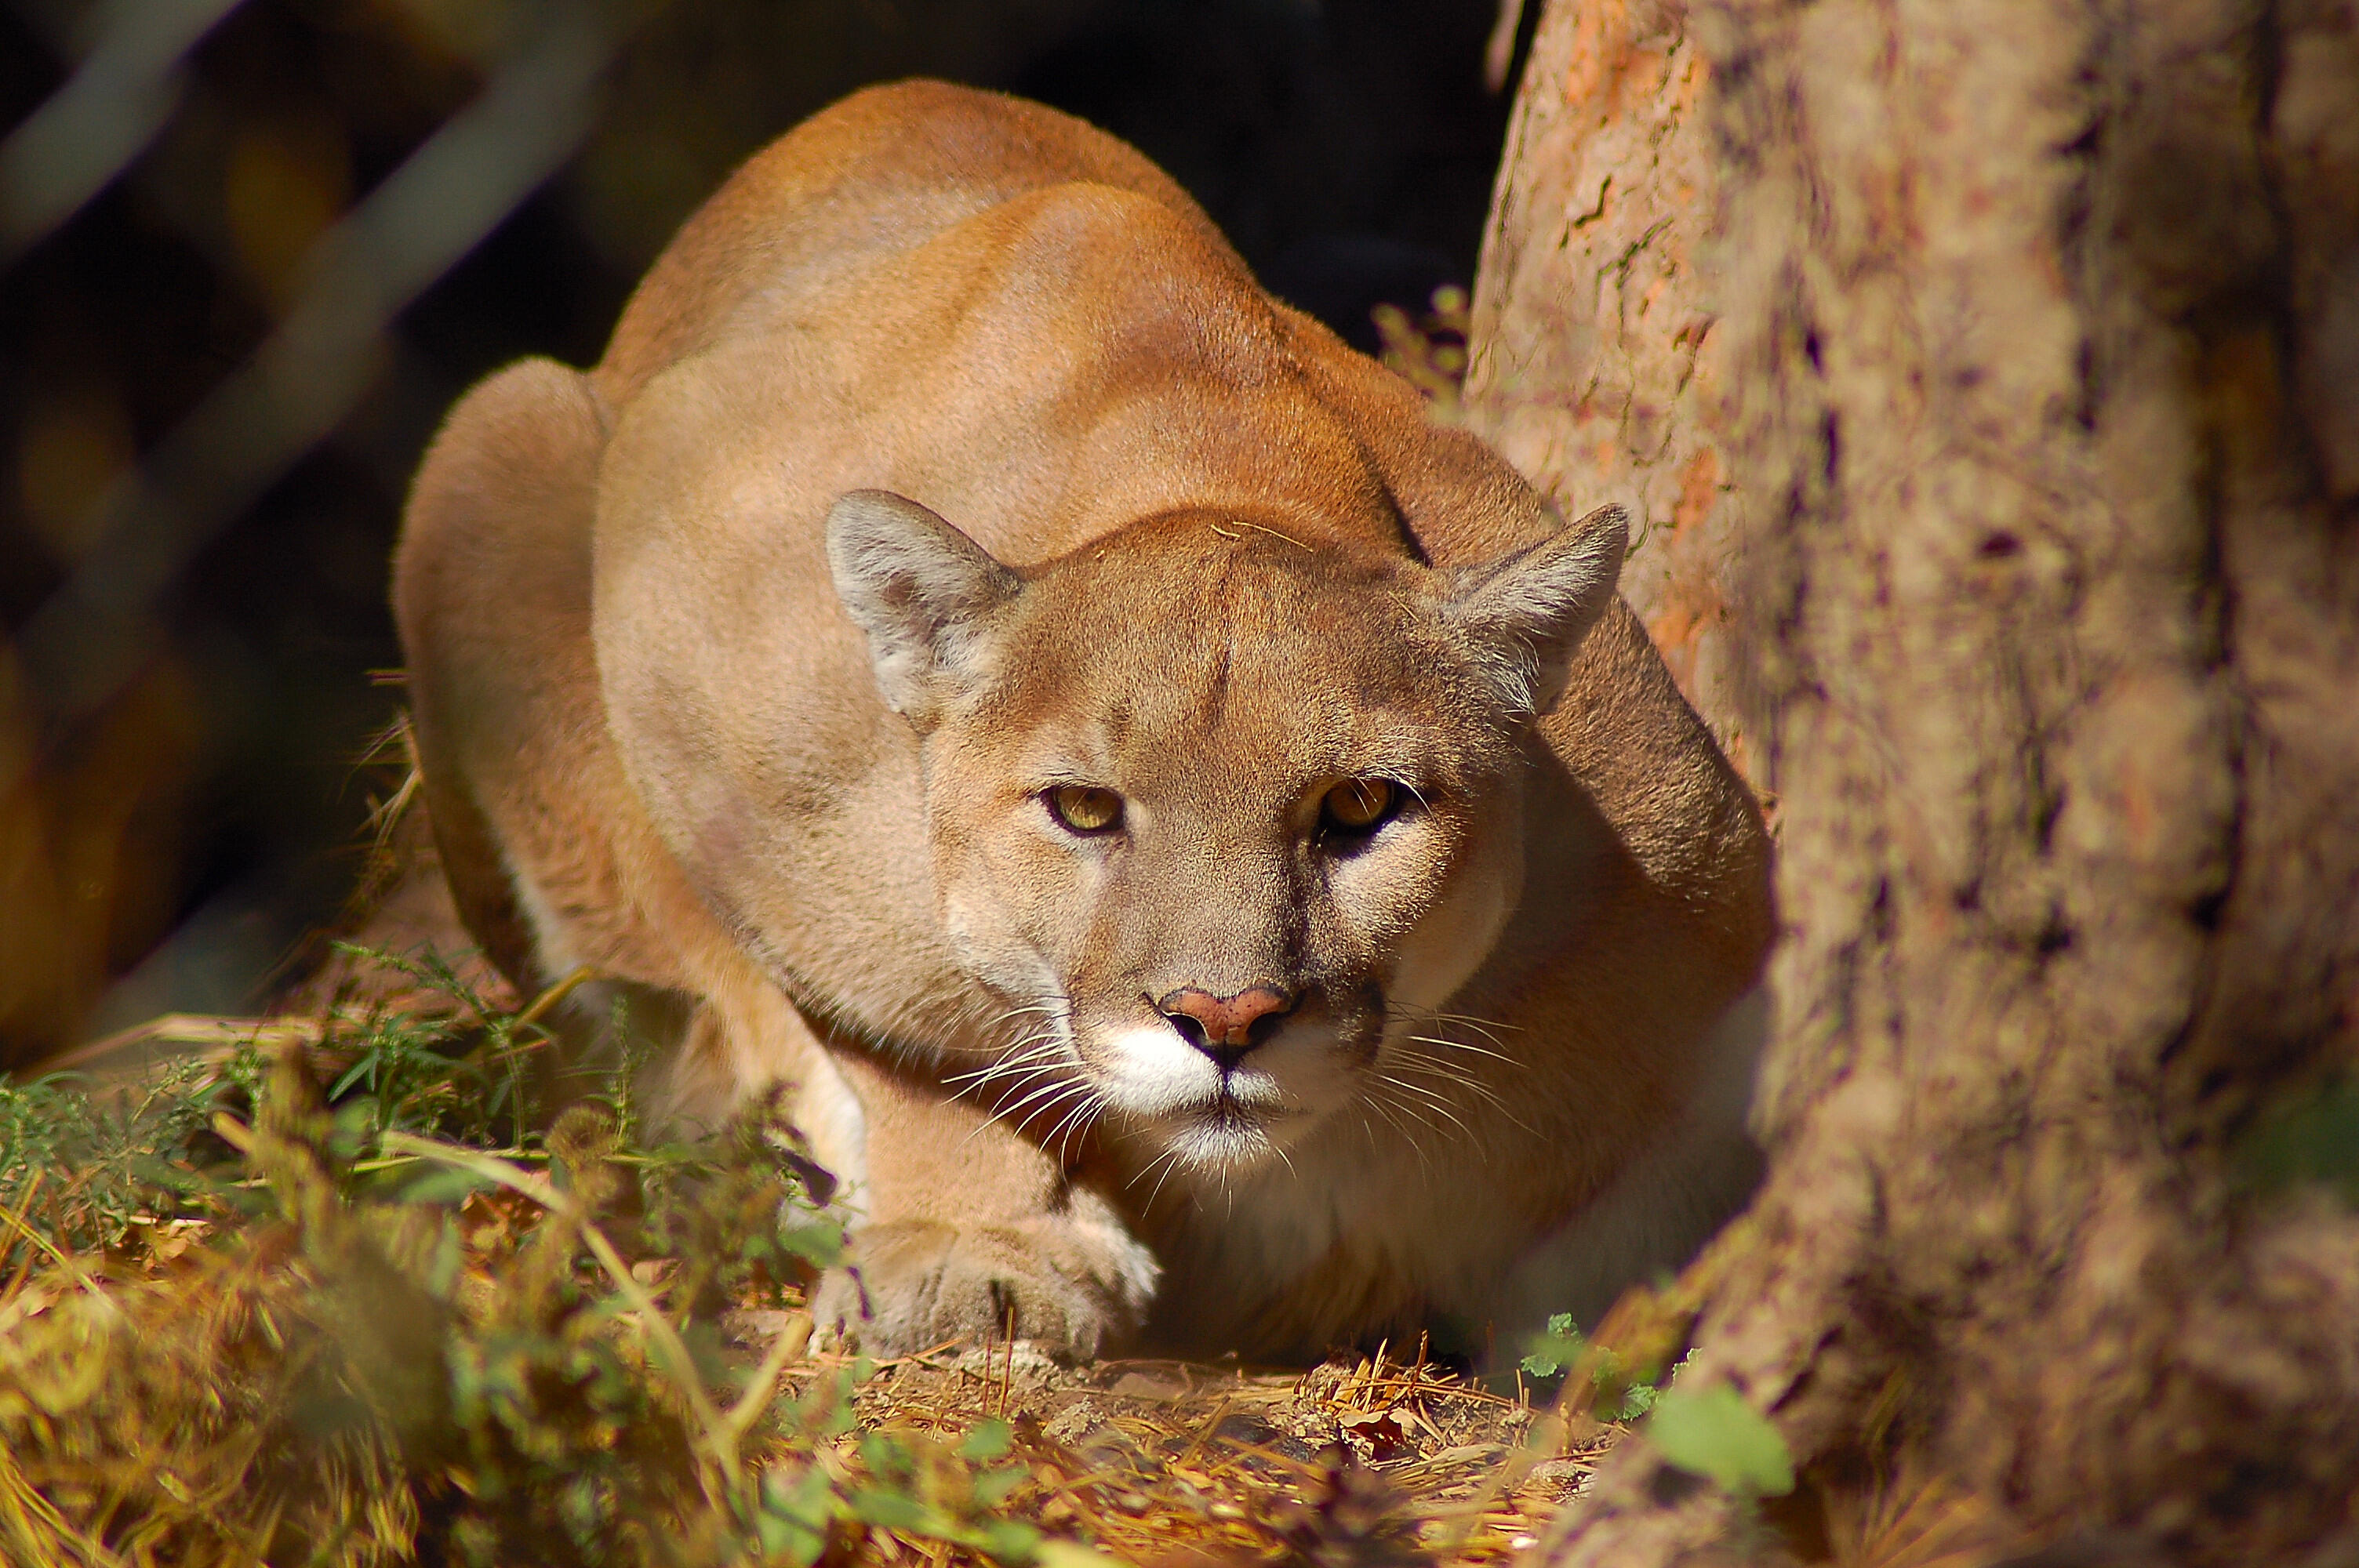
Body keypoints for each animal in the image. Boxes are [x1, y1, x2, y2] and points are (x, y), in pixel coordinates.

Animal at [396, 79, 1774, 1367]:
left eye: (1361, 809)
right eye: (1083, 811)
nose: (1226, 1020)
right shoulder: (699, 667)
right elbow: (905, 1026)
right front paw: (978, 1247)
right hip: (501, 441)